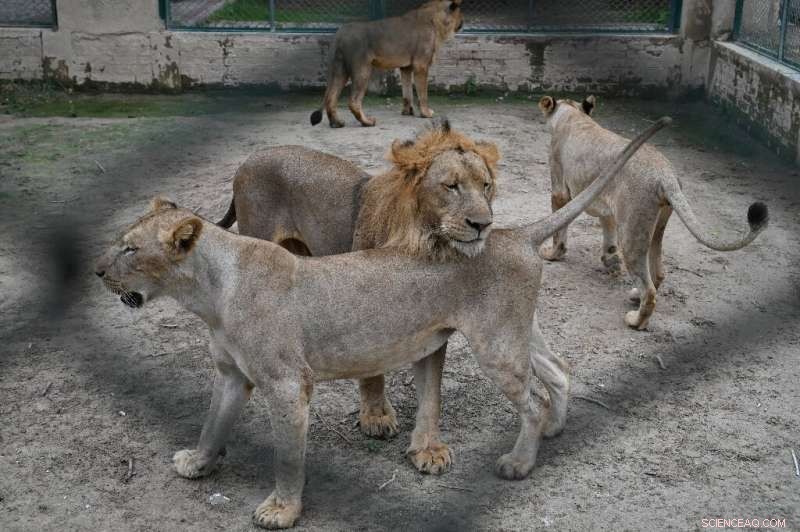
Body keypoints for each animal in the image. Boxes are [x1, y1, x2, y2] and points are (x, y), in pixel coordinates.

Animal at [218, 121, 500, 446]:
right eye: (451, 186)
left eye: (485, 186)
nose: (483, 224)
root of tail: (247, 160)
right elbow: (372, 372)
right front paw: (376, 417)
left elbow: (431, 391)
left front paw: (430, 449)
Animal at [309, 0, 463, 128]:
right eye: (460, 13)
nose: (463, 21)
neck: (437, 22)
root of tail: (340, 32)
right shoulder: (421, 64)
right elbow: (422, 93)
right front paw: (426, 113)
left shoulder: (406, 67)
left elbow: (407, 92)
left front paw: (407, 111)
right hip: (362, 69)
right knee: (353, 101)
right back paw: (367, 122)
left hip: (339, 71)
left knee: (330, 98)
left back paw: (337, 123)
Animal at [538, 95, 769, 330]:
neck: (574, 116)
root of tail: (666, 175)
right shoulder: (607, 204)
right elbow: (608, 234)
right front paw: (610, 261)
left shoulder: (560, 190)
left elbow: (559, 230)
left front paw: (552, 254)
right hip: (655, 226)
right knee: (658, 273)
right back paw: (634, 296)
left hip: (631, 232)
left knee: (649, 289)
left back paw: (635, 320)